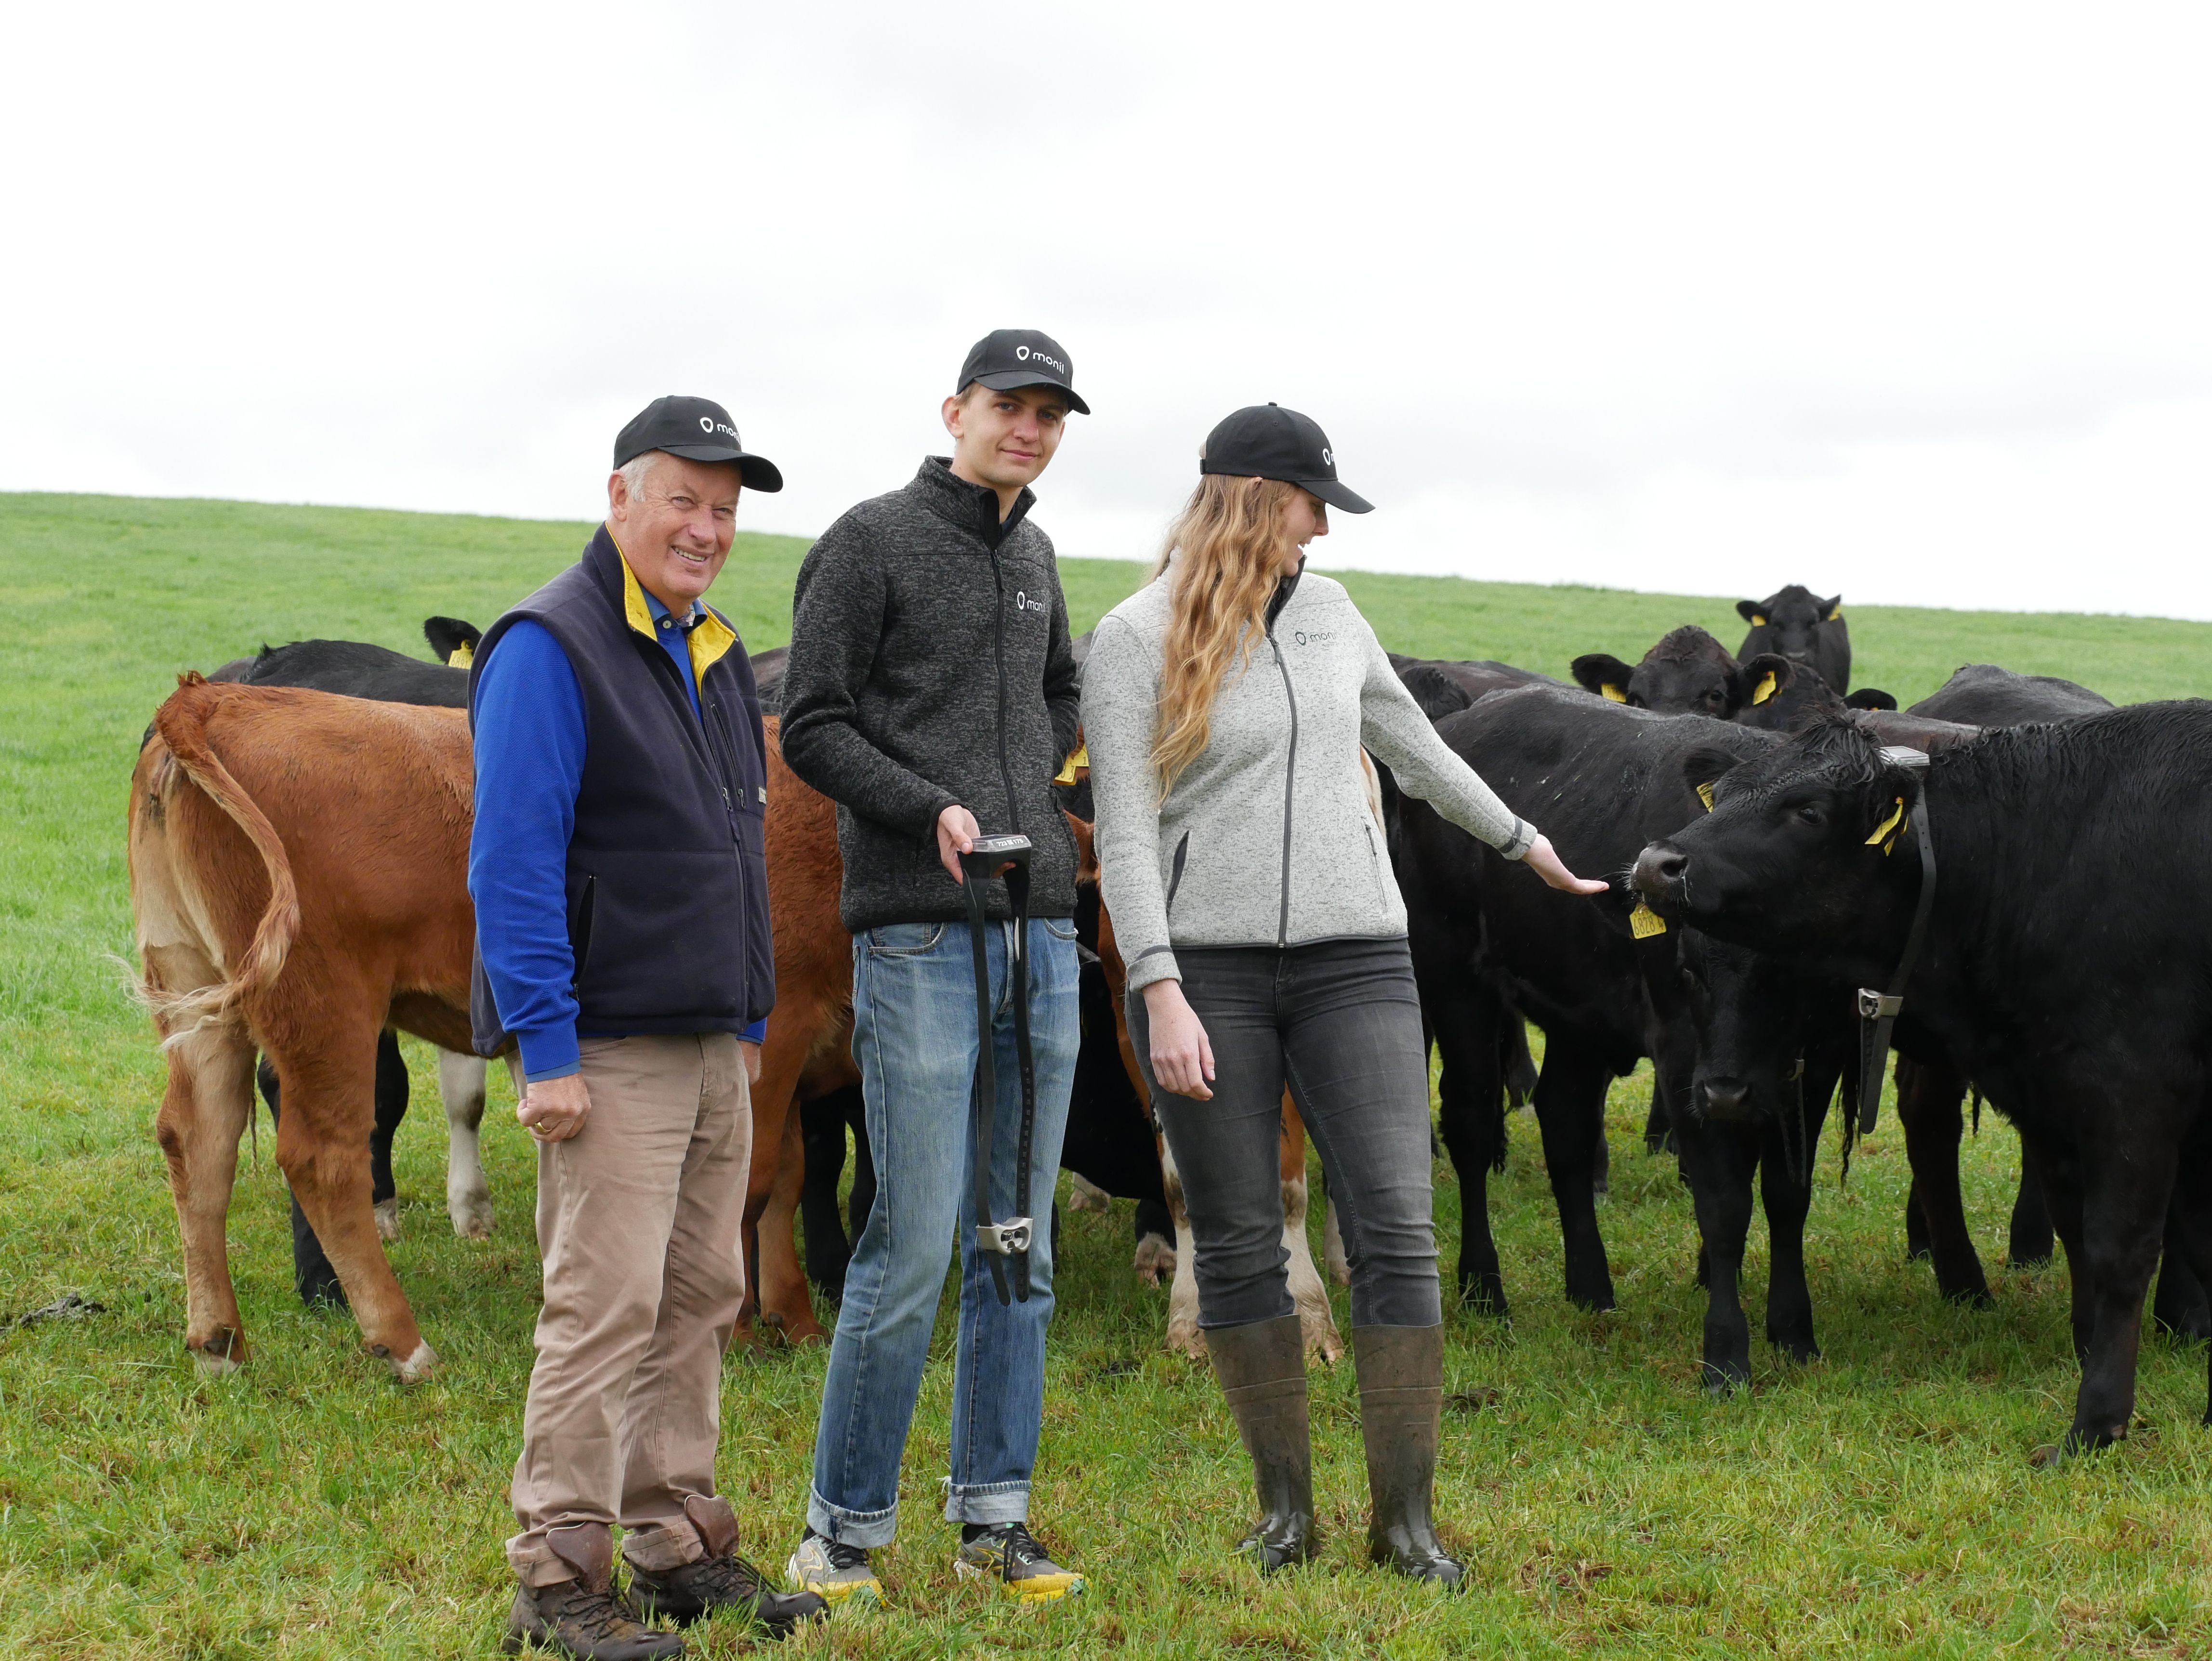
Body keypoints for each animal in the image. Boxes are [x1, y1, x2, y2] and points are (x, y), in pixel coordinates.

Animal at [1628, 708, 2212, 1460]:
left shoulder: (2133, 1098)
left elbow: (2120, 1249)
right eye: (1723, 794)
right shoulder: (2055, 1103)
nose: (1655, 862)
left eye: (1809, 811)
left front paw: (2096, 1421)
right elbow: (2087, 1232)